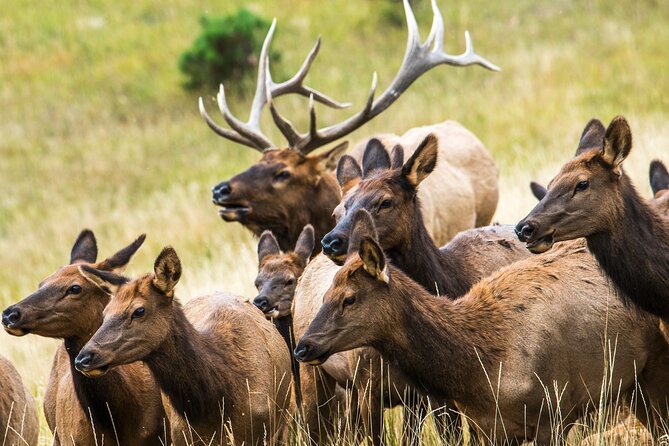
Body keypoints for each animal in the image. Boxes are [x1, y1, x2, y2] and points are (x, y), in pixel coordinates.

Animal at [294, 210, 668, 446]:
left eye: (350, 298)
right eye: (326, 294)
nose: (303, 346)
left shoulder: (555, 412)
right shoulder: (488, 427)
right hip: (632, 383)